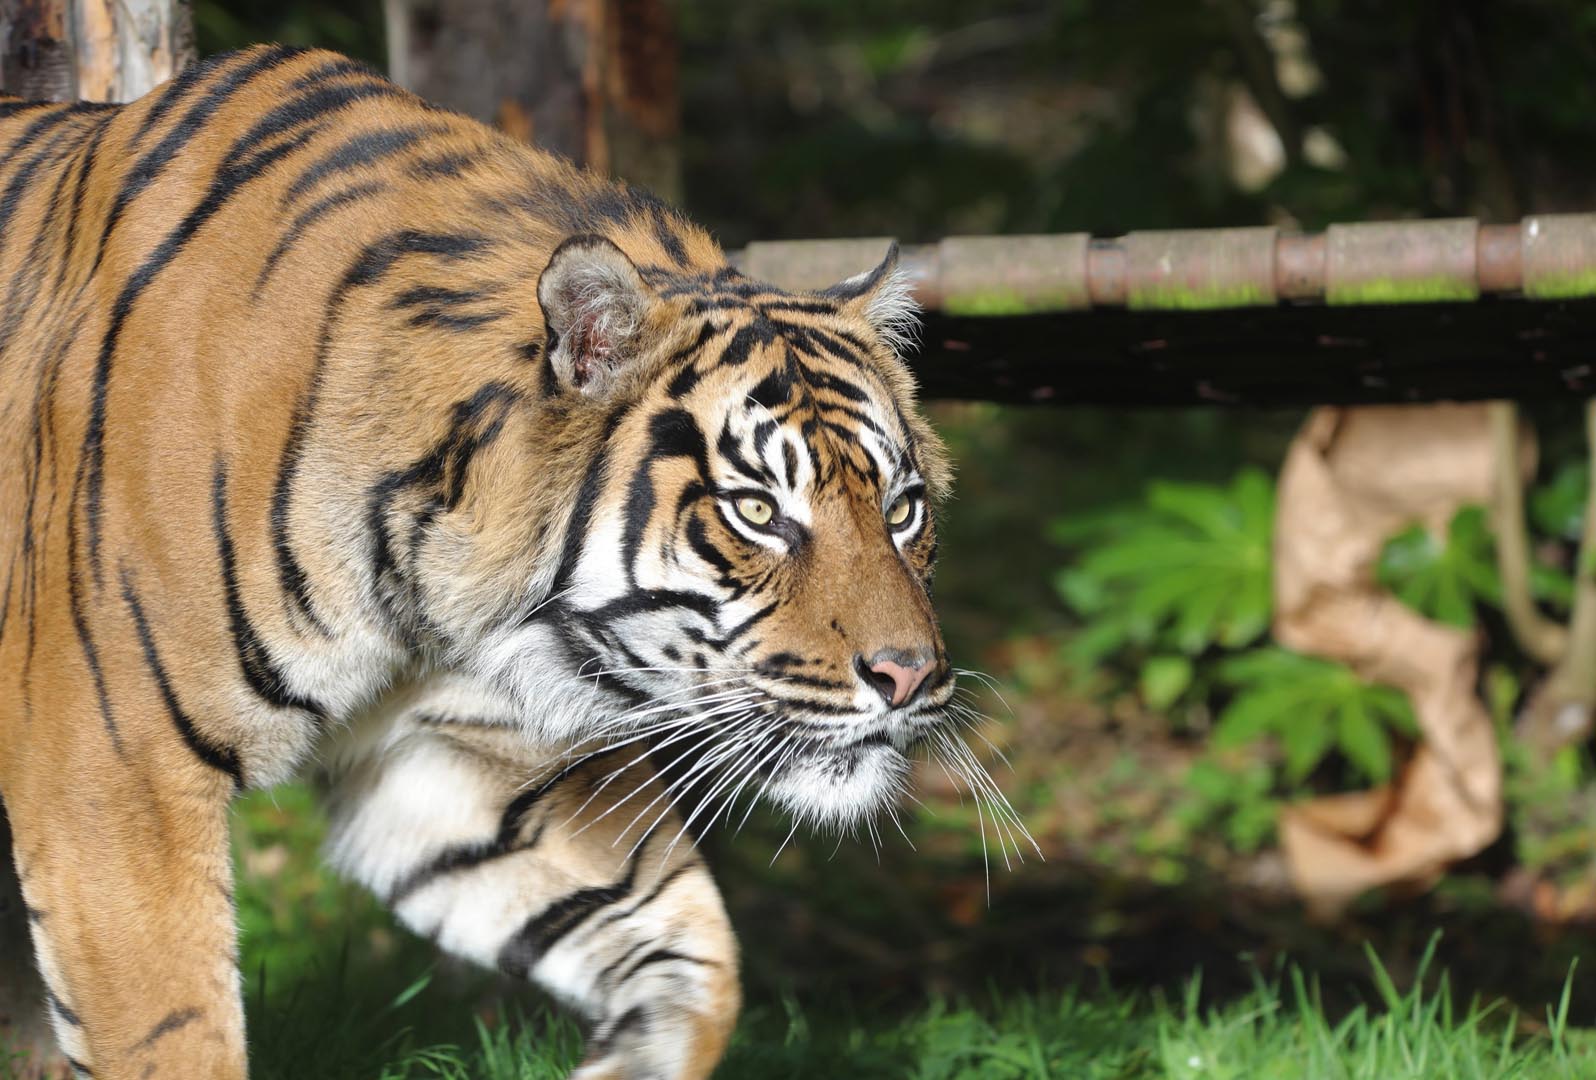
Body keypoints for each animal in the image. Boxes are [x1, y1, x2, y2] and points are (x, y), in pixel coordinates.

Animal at [0, 44, 1021, 1078]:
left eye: (901, 510)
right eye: (758, 511)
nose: (909, 677)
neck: (423, 565)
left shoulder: (441, 756)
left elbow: (694, 953)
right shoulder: (114, 775)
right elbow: (171, 1034)